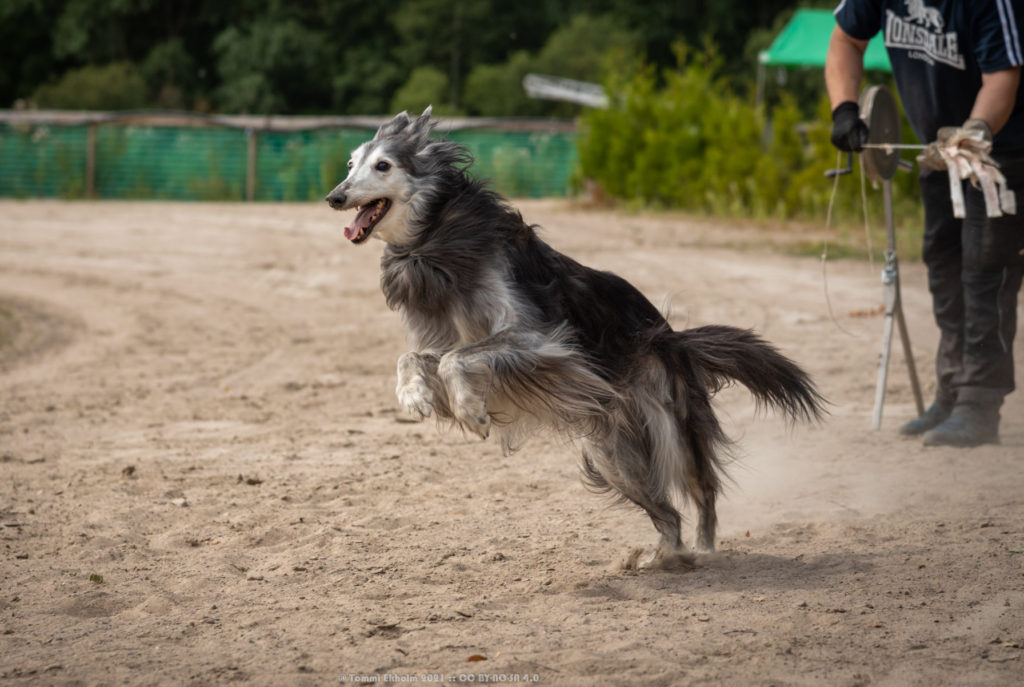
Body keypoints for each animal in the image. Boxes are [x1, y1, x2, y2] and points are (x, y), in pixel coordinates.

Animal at [327, 107, 823, 569]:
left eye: (383, 165)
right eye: (350, 163)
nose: (335, 196)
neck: (435, 240)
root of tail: (675, 338)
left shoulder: (539, 340)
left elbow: (458, 360)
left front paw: (472, 411)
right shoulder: (451, 339)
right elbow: (413, 357)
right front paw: (414, 396)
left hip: (670, 428)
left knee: (702, 493)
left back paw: (702, 551)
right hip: (613, 456)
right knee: (668, 513)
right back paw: (665, 555)